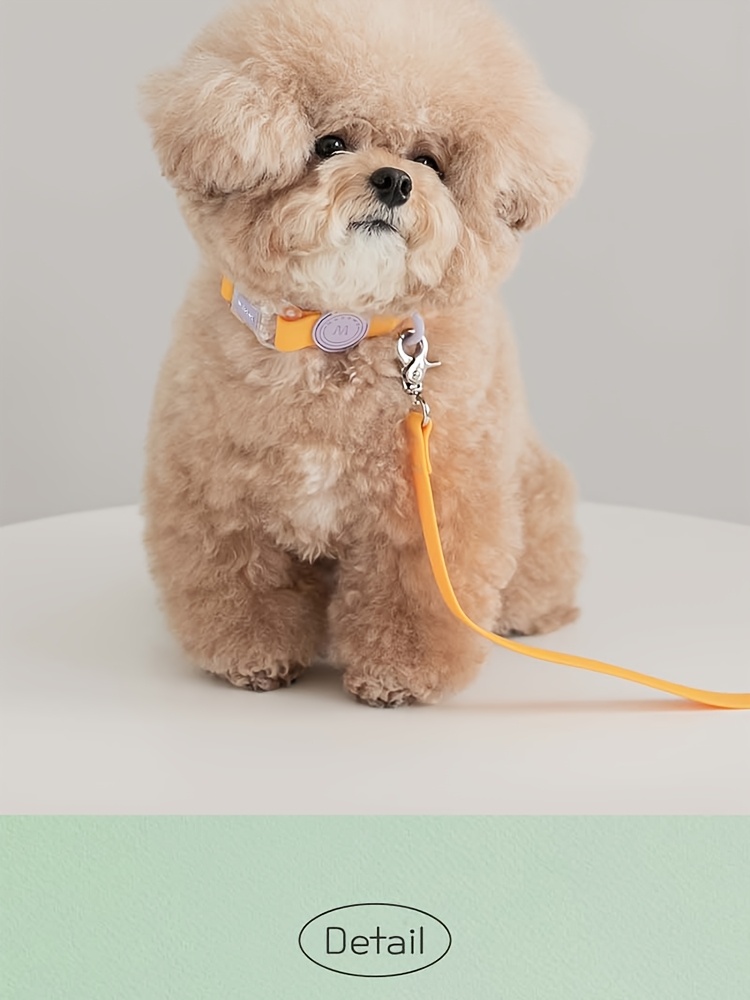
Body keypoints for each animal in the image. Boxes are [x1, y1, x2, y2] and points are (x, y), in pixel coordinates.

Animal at [140, 0, 588, 706]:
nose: (394, 179)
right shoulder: (220, 501)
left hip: (534, 490)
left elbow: (411, 595)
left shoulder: (429, 511)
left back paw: (529, 612)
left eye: (429, 160)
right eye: (330, 144)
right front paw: (252, 658)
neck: (336, 328)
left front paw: (399, 676)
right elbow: (243, 586)